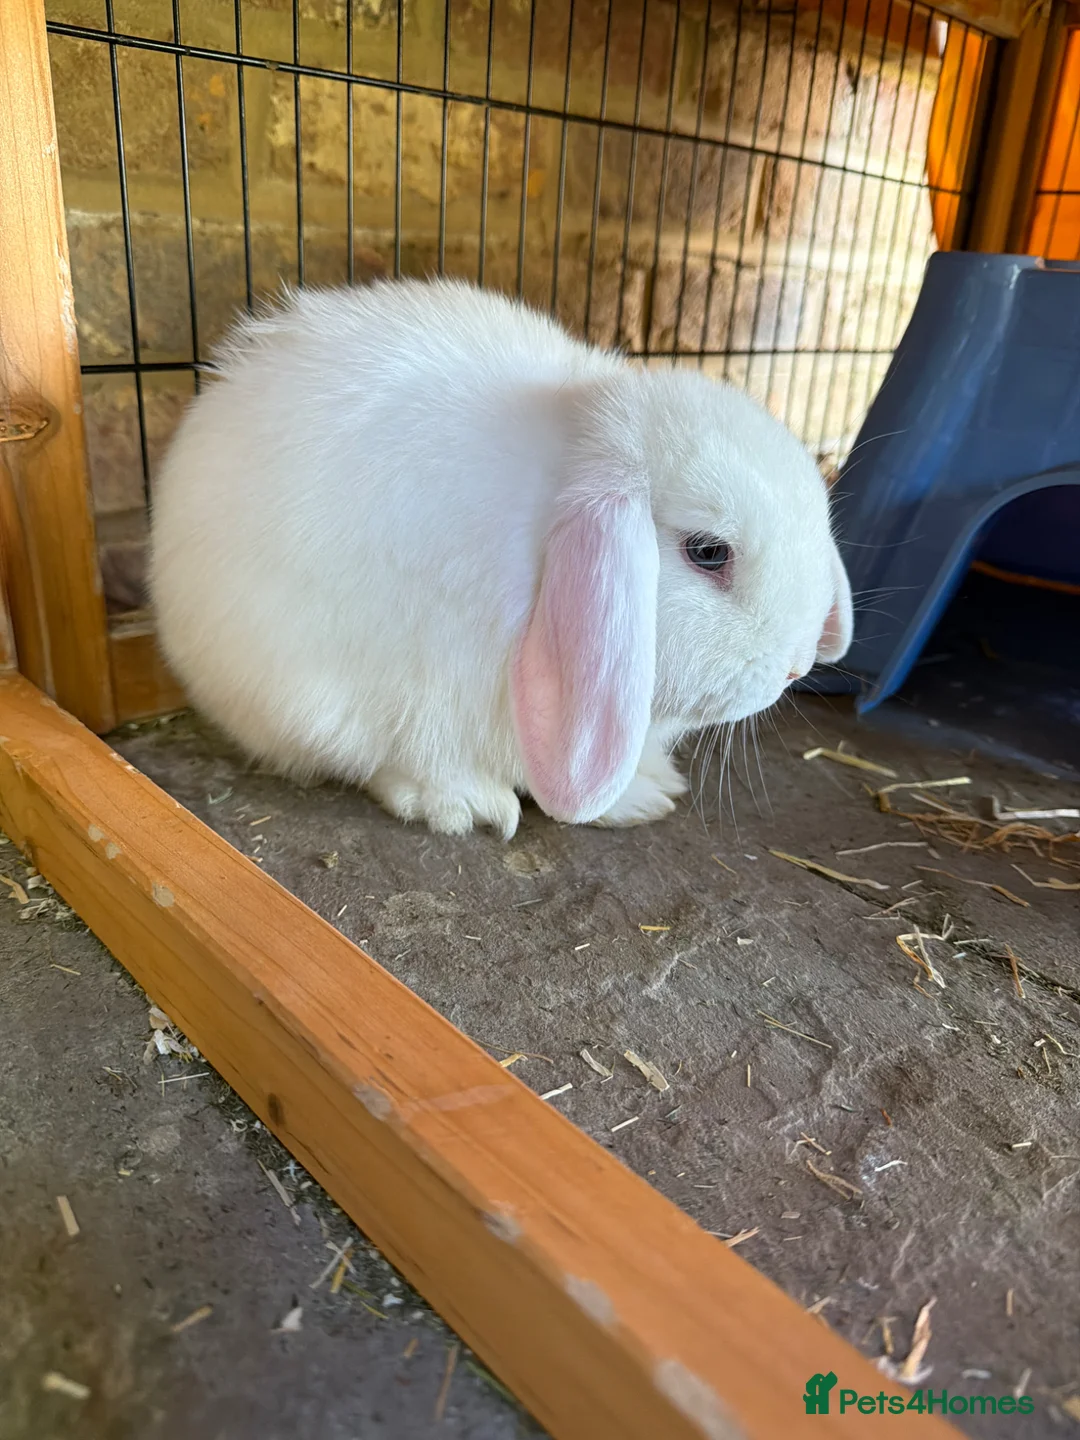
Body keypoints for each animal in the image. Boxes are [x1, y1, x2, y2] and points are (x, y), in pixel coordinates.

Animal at [149, 278, 852, 840]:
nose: (795, 668)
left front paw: (653, 786)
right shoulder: (421, 681)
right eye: (708, 553)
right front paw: (478, 807)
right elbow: (422, 757)